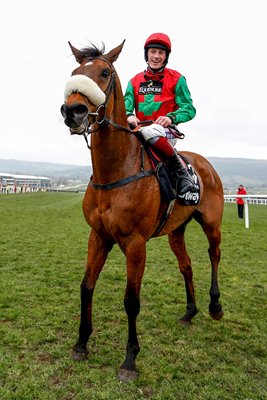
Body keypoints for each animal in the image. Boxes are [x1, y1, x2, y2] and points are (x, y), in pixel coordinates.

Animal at [60, 39, 224, 382]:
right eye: (74, 72)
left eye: (105, 72)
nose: (73, 111)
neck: (116, 170)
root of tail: (205, 164)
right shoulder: (98, 237)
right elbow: (86, 287)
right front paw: (81, 343)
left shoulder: (135, 244)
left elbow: (131, 300)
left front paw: (130, 360)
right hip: (176, 231)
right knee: (187, 266)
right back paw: (190, 311)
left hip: (212, 223)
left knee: (214, 255)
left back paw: (215, 307)